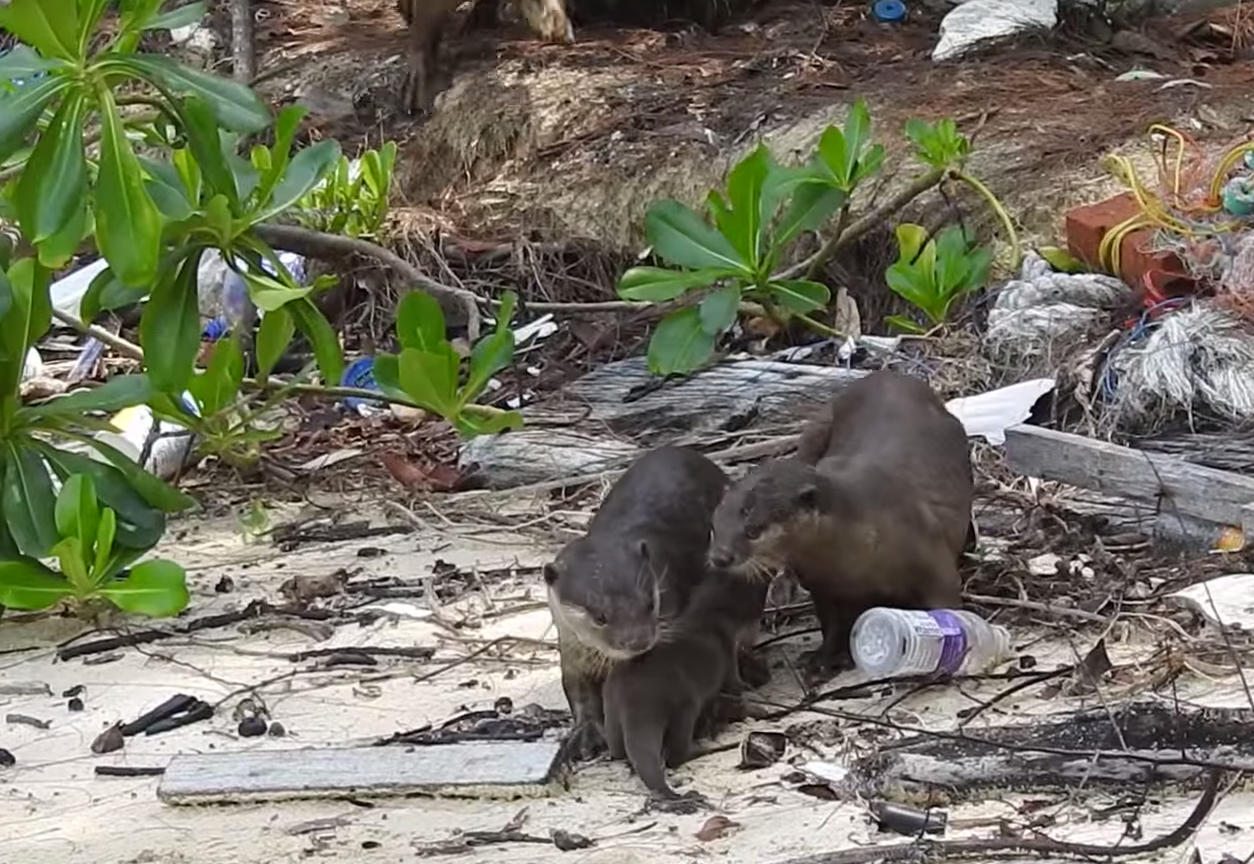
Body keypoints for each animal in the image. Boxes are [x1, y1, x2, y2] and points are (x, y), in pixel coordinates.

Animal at [544, 446, 733, 761]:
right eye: (600, 616)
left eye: (649, 603)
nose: (638, 641)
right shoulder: (570, 649)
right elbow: (578, 692)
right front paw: (585, 733)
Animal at [602, 571, 768, 812]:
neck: (707, 613)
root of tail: (635, 701)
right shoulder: (728, 650)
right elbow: (736, 687)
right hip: (684, 704)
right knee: (676, 755)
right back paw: (702, 747)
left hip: (611, 708)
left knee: (618, 750)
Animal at [708, 370, 974, 678]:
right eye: (714, 526)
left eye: (753, 530)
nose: (719, 557)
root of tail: (888, 373)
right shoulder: (822, 584)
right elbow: (831, 622)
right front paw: (822, 658)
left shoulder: (929, 554)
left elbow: (946, 600)